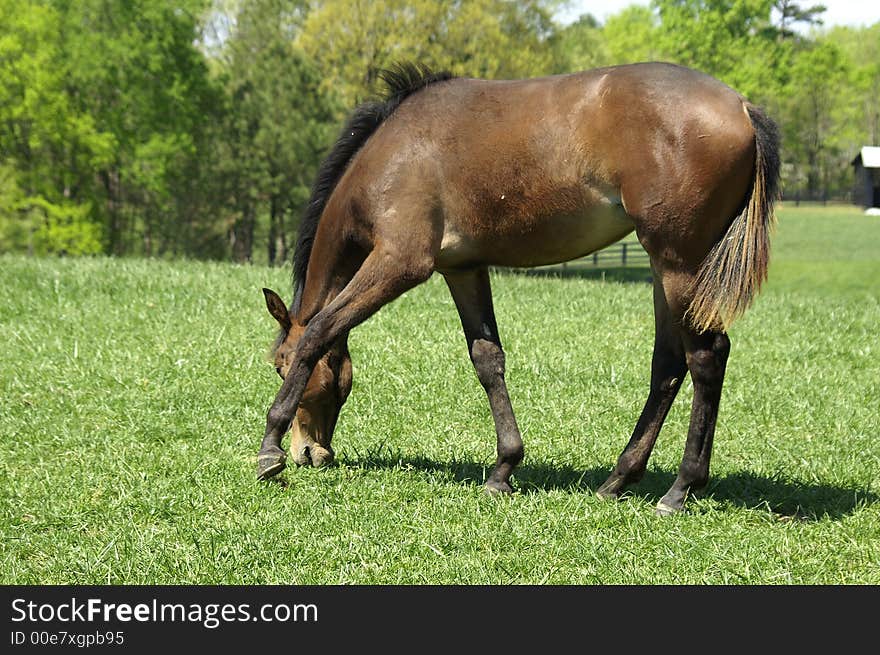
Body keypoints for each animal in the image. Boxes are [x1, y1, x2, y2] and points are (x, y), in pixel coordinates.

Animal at [258, 61, 780, 516]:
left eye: (280, 366)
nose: (310, 453)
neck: (394, 151)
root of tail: (741, 107)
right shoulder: (463, 269)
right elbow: (488, 360)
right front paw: (503, 468)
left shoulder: (399, 264)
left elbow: (318, 331)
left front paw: (270, 448)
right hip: (663, 269)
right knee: (668, 366)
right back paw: (617, 480)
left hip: (678, 265)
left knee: (706, 357)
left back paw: (680, 489)